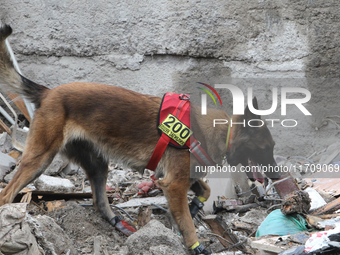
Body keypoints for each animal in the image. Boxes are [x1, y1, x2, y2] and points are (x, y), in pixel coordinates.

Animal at [0, 24, 278, 254]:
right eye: (266, 148)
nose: (277, 177)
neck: (219, 131)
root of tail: (48, 93)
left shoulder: (176, 178)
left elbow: (205, 190)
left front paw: (195, 205)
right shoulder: (174, 184)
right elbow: (188, 223)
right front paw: (195, 246)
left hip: (97, 164)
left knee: (99, 201)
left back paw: (119, 224)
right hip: (39, 159)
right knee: (7, 194)